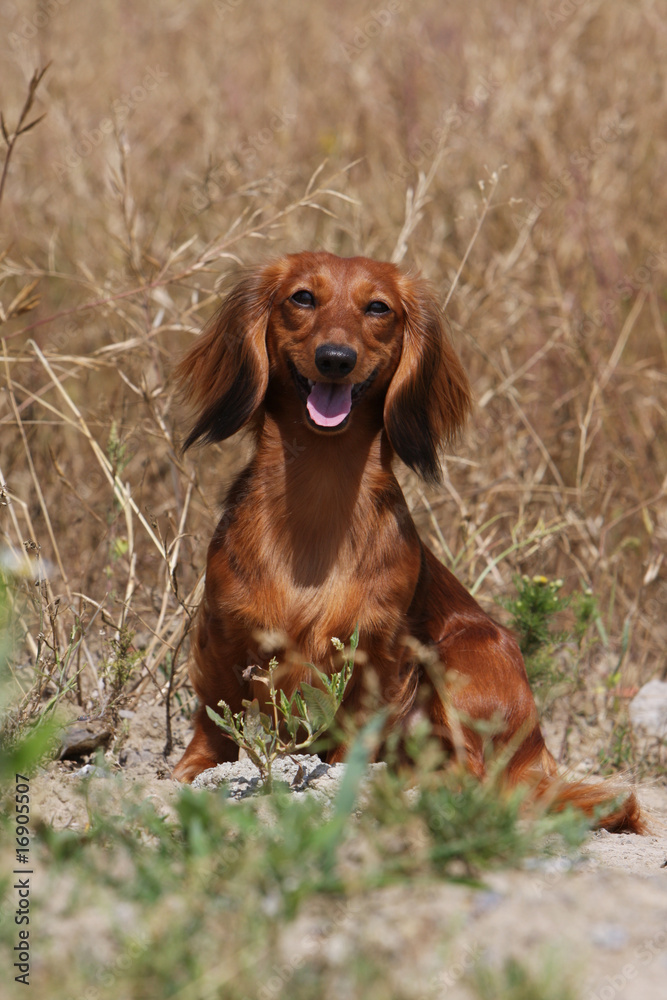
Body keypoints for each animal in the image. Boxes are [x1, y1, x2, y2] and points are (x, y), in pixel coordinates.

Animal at [172, 252, 640, 836]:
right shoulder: (223, 635)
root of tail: (537, 750)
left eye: (378, 308)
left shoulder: (377, 657)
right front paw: (194, 771)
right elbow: (215, 722)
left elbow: (350, 734)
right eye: (302, 297)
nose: (335, 359)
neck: (319, 501)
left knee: (475, 776)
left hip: (468, 656)